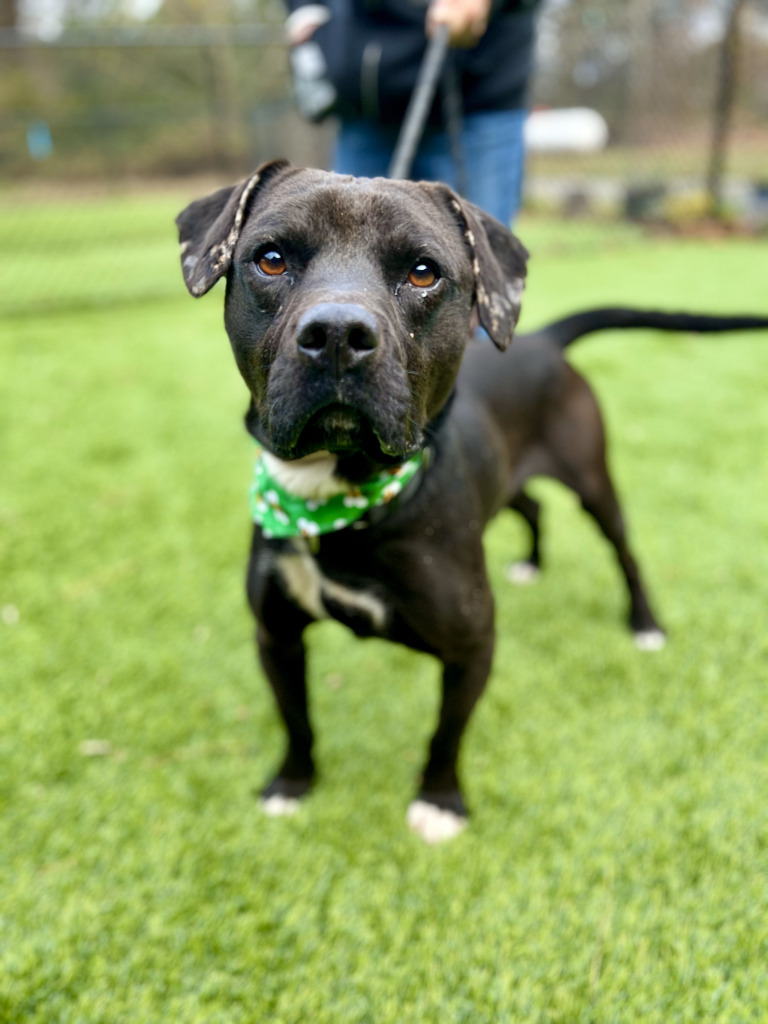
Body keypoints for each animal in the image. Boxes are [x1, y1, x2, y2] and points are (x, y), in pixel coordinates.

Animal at [176, 161, 768, 839]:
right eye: (270, 259)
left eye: (423, 271)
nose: (337, 334)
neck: (345, 499)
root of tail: (542, 339)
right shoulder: (276, 634)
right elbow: (296, 719)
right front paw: (292, 784)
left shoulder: (471, 647)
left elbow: (445, 733)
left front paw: (439, 802)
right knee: (532, 507)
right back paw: (532, 563)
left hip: (594, 484)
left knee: (625, 551)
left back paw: (644, 624)